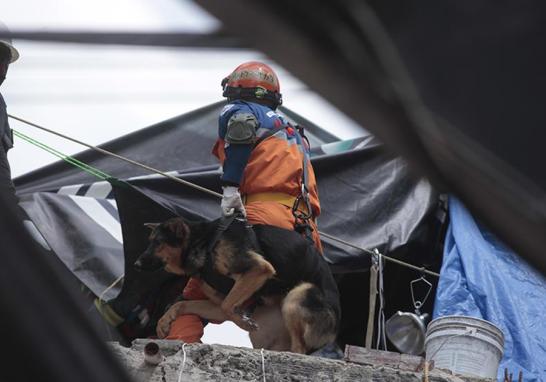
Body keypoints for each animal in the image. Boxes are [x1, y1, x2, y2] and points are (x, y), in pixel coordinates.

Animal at [135, 216, 340, 354]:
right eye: (151, 242)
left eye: (158, 242)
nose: (136, 264)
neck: (203, 242)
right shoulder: (219, 304)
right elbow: (183, 304)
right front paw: (163, 321)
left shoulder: (258, 269)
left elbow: (227, 306)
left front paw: (243, 322)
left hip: (298, 295)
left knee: (300, 349)